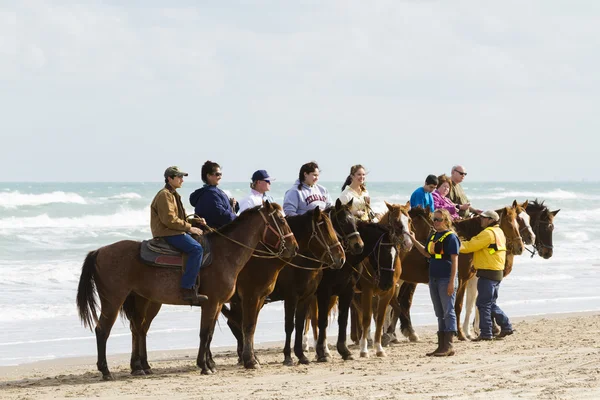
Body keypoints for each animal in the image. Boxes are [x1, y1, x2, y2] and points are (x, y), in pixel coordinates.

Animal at [77, 203, 298, 378]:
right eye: (281, 219)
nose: (294, 247)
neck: (224, 254)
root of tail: (99, 251)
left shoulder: (218, 303)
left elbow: (209, 334)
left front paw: (209, 364)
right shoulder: (225, 301)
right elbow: (212, 332)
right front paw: (207, 366)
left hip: (144, 301)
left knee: (138, 329)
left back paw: (141, 367)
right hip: (113, 300)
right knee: (103, 330)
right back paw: (106, 371)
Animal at [220, 206, 344, 368]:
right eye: (323, 229)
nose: (341, 258)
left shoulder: (306, 297)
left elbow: (299, 324)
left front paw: (301, 355)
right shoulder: (290, 297)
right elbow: (289, 325)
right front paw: (288, 356)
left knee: (236, 322)